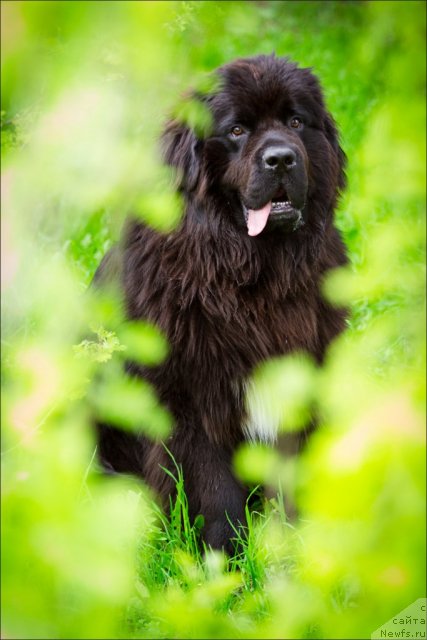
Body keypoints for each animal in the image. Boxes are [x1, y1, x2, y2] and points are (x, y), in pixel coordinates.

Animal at [95, 55, 350, 556]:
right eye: (236, 131)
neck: (251, 275)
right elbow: (212, 488)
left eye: (296, 122)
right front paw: (223, 560)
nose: (281, 158)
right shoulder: (191, 397)